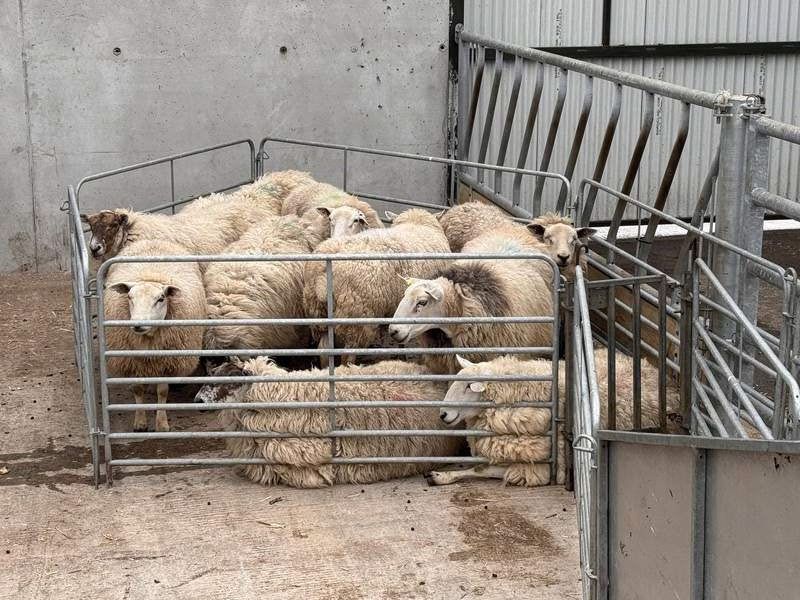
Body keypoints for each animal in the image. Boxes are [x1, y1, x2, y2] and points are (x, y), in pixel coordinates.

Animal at [103, 239, 206, 432]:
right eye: (129, 297)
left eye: (160, 299)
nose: (137, 324)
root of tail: (153, 240)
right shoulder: (132, 362)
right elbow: (138, 389)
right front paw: (140, 422)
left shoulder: (166, 363)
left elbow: (162, 391)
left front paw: (162, 423)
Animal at [302, 208, 450, 363]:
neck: (415, 223)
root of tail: (322, 281)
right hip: (356, 317)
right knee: (348, 355)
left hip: (318, 314)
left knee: (324, 351)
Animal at [426, 348, 681, 486]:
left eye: (469, 386)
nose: (442, 414)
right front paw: (442, 475)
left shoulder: (539, 465)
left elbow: (482, 470)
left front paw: (441, 476)